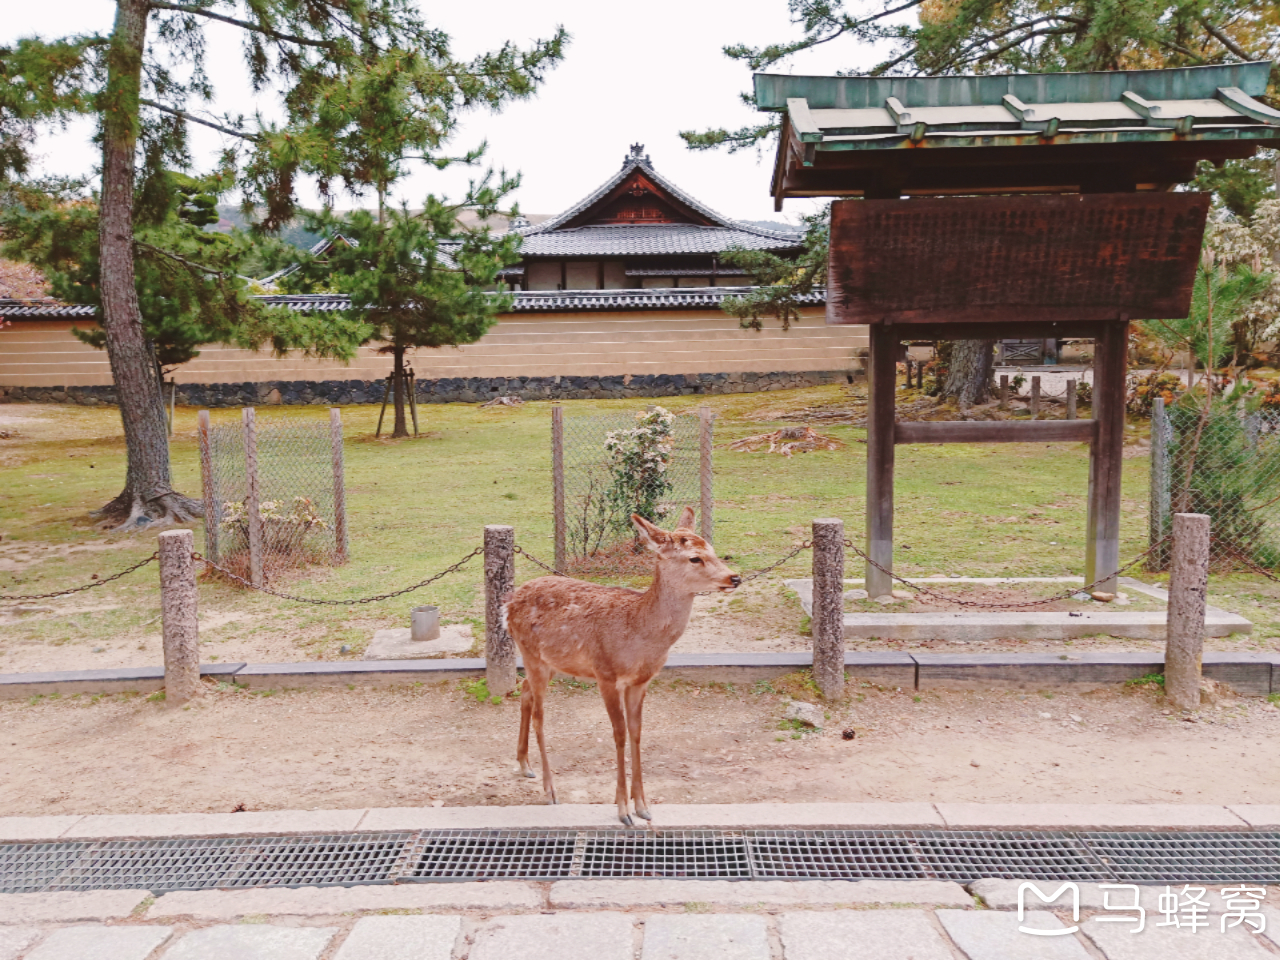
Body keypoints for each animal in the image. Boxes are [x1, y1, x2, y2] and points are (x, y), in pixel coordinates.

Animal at [499, 506, 742, 829]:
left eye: (713, 550)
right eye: (695, 558)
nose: (735, 577)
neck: (639, 634)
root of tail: (508, 604)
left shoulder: (641, 681)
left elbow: (637, 731)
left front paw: (643, 806)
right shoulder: (606, 674)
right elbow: (620, 734)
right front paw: (623, 810)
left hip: (549, 662)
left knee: (525, 692)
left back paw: (524, 764)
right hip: (531, 653)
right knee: (540, 715)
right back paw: (550, 790)